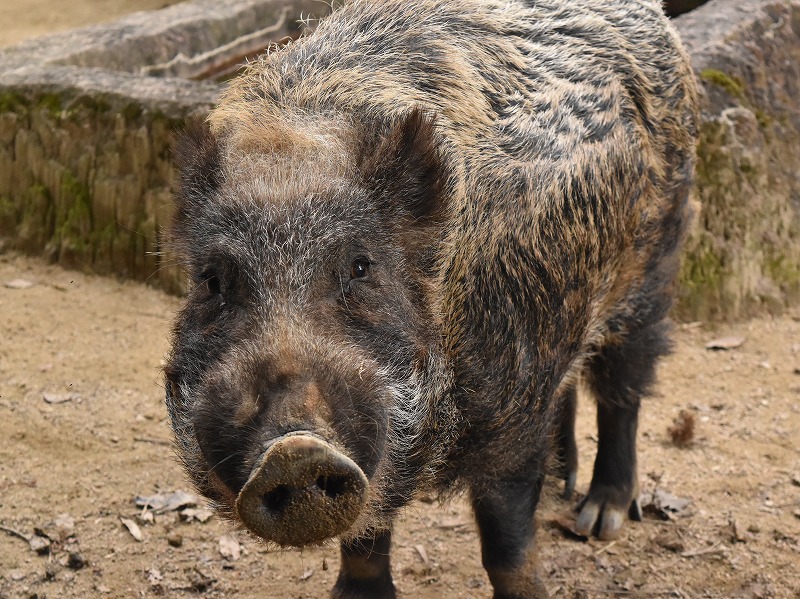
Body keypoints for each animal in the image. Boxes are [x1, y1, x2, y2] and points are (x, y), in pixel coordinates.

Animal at [164, 0, 699, 597]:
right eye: (212, 280)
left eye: (361, 266)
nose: (293, 452)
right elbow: (367, 535)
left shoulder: (512, 400)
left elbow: (507, 542)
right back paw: (565, 484)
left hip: (656, 257)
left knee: (623, 385)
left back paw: (597, 520)